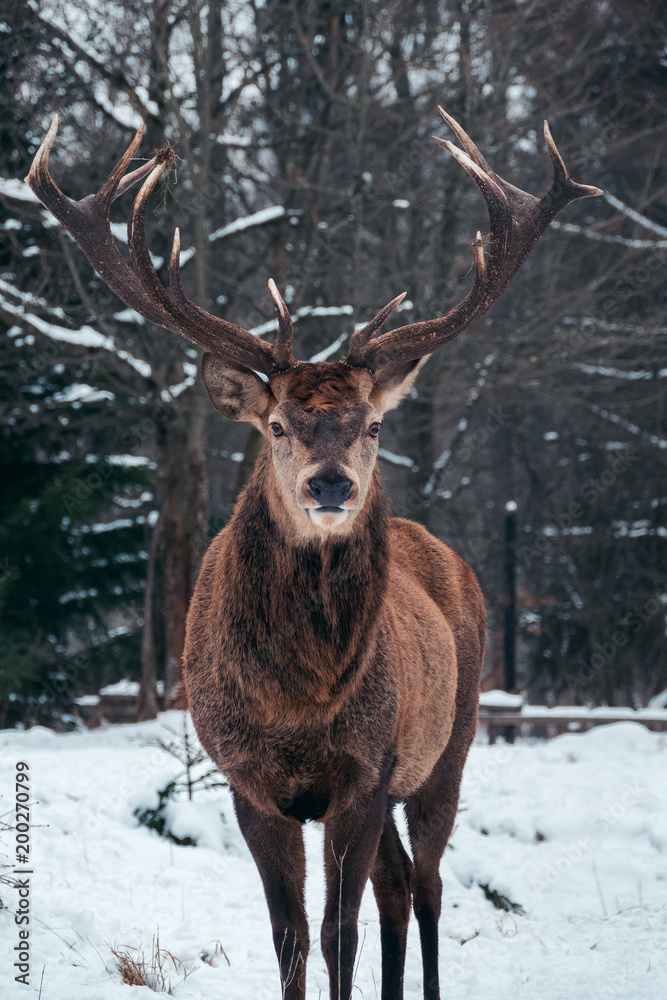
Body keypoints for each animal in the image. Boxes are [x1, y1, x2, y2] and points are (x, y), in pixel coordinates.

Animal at [27, 108, 601, 1000]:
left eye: (373, 424)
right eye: (275, 425)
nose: (330, 484)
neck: (296, 702)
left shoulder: (365, 773)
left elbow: (338, 933)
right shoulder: (248, 783)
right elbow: (291, 935)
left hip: (453, 740)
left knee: (426, 884)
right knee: (397, 884)